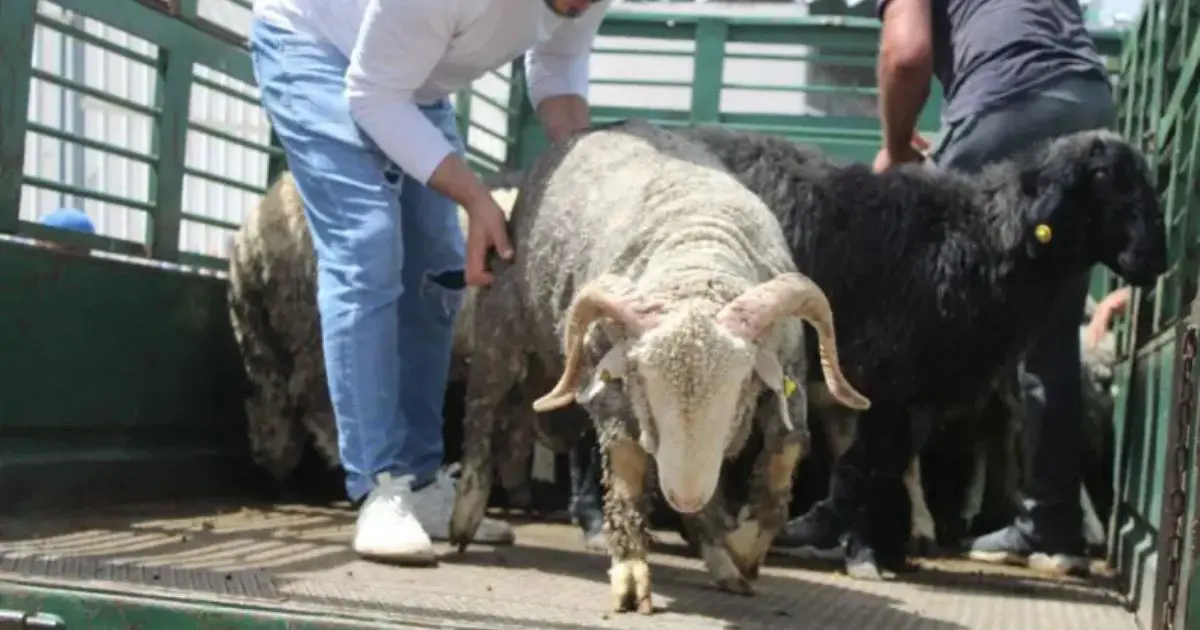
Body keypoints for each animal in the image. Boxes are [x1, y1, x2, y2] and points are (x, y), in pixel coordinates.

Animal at [227, 171, 527, 493]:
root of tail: (249, 242)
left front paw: (514, 481)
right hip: (312, 323)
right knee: (313, 392)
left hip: (264, 331)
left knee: (269, 399)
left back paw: (276, 461)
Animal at [446, 119, 870, 613]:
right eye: (641, 382)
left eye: (742, 386)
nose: (683, 495)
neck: (696, 252)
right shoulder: (613, 400)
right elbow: (627, 476)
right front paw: (631, 575)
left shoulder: (788, 375)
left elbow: (784, 451)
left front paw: (742, 549)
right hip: (501, 328)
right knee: (480, 414)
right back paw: (465, 516)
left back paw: (720, 556)